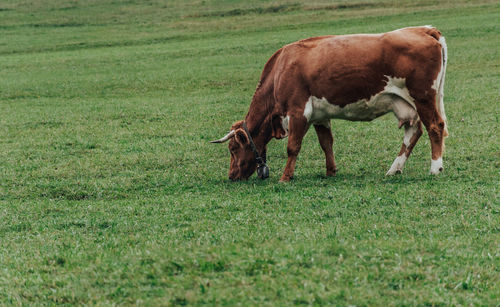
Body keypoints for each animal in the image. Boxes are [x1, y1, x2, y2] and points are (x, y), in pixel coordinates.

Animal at [211, 26, 450, 182]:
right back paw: (394, 169)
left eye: (233, 148)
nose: (231, 176)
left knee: (435, 127)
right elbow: (326, 143)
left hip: (423, 97)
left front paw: (285, 177)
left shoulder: (298, 112)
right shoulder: (320, 115)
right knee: (413, 132)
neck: (280, 69)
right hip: (406, 103)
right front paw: (330, 171)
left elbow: (293, 147)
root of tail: (422, 29)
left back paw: (435, 168)